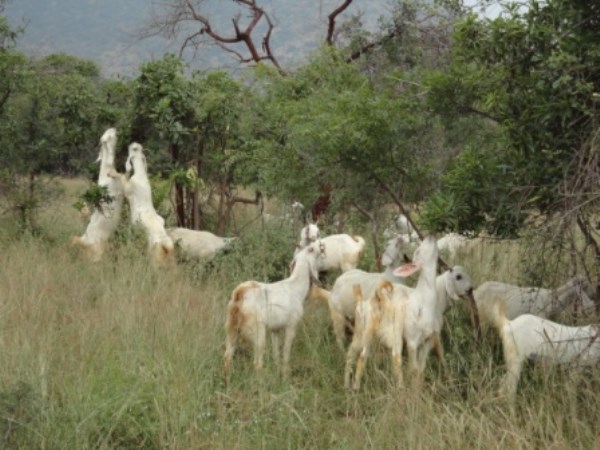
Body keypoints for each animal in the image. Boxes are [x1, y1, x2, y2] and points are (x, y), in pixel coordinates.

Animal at [71, 127, 124, 260]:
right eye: (109, 136)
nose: (114, 129)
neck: (106, 173)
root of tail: (84, 242)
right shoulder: (120, 190)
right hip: (98, 252)